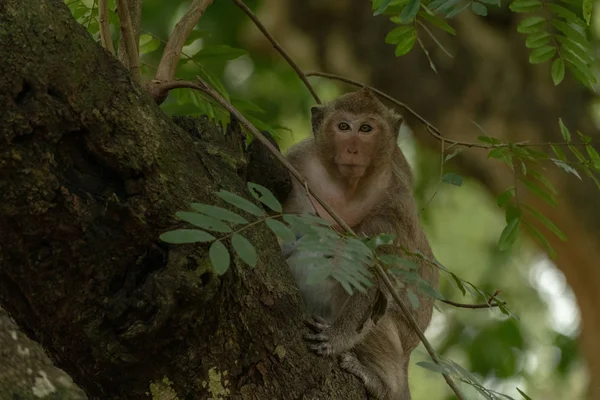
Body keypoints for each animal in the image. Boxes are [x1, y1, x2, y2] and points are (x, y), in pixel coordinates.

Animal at [282, 88, 440, 400]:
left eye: (366, 129)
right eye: (344, 126)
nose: (353, 149)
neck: (348, 186)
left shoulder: (394, 207)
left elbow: (379, 279)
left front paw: (337, 337)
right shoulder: (299, 161)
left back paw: (380, 383)